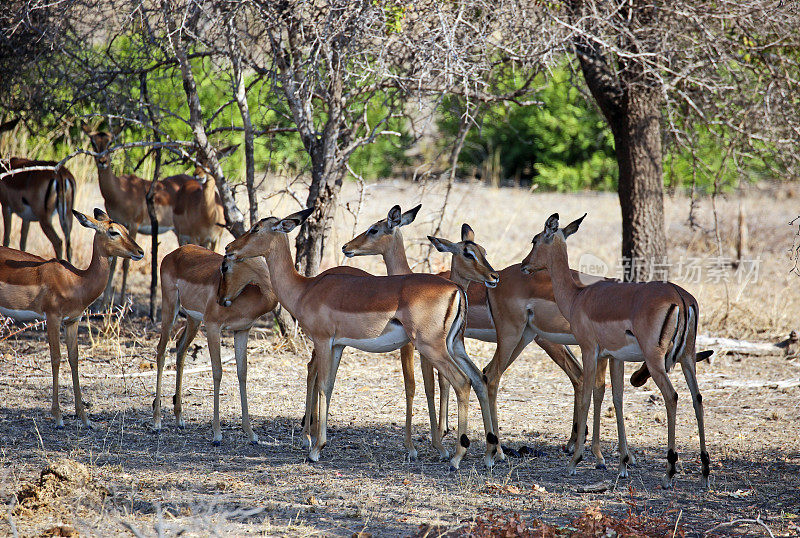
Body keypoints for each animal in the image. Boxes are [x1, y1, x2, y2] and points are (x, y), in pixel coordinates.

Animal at [0, 119, 75, 260]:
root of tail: (60, 173)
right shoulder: (26, 218)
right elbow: (22, 243)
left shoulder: (6, 207)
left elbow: (6, 239)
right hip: (67, 217)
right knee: (69, 246)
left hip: (44, 219)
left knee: (58, 242)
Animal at [0, 208, 142, 428]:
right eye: (113, 232)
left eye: (126, 229)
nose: (140, 251)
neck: (76, 280)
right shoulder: (52, 318)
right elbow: (56, 358)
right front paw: (58, 416)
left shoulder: (72, 321)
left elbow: (74, 359)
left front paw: (84, 417)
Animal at [223, 207, 500, 466]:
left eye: (256, 228)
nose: (229, 248)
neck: (305, 289)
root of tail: (456, 289)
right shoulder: (337, 346)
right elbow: (329, 386)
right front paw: (318, 444)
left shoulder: (323, 341)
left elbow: (323, 385)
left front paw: (315, 450)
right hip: (453, 345)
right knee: (478, 378)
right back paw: (488, 453)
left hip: (432, 347)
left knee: (462, 382)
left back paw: (457, 457)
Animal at [520, 213, 708, 486]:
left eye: (535, 239)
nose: (524, 265)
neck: (578, 297)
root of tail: (681, 297)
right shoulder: (614, 357)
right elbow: (616, 398)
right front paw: (622, 465)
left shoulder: (589, 351)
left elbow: (586, 396)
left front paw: (575, 461)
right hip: (687, 359)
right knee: (697, 399)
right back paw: (704, 472)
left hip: (656, 362)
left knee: (672, 397)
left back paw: (669, 473)